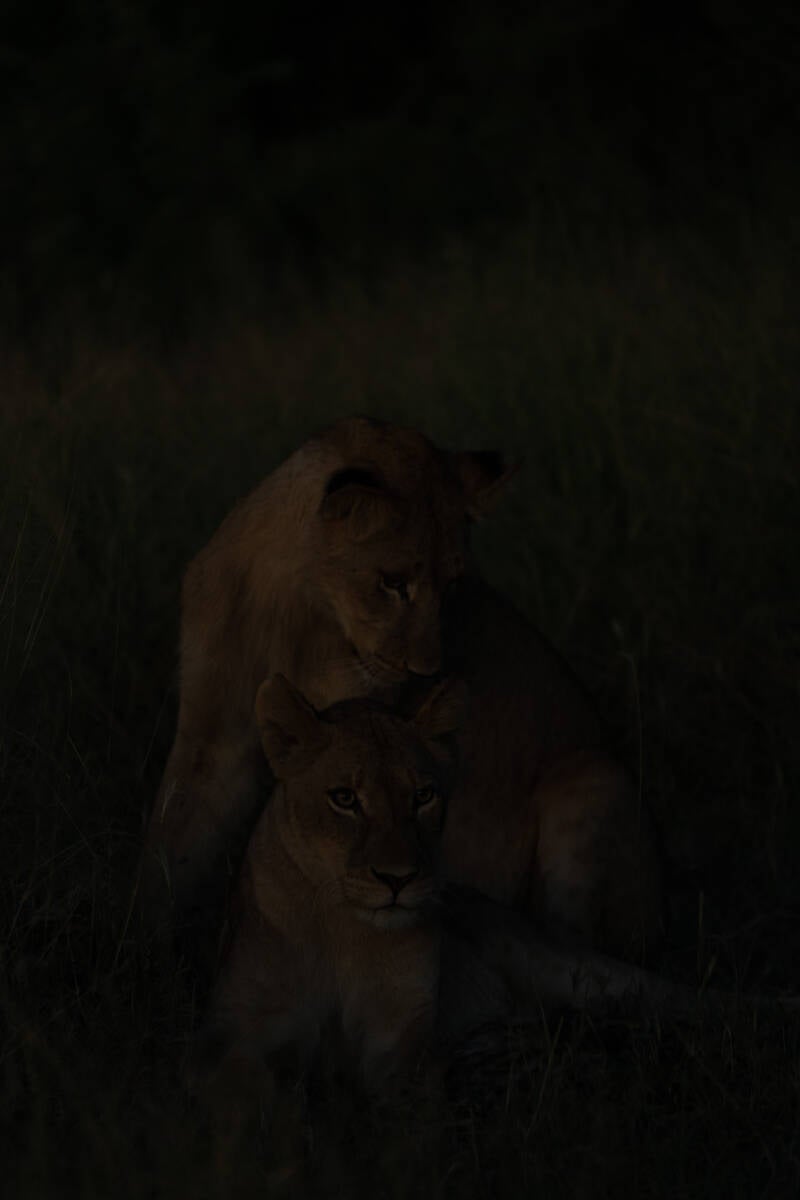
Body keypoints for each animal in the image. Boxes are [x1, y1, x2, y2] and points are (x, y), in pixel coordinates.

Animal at [145, 417, 663, 965]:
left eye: (454, 584)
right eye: (393, 583)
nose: (429, 669)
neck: (296, 609)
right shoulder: (212, 738)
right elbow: (170, 844)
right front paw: (142, 952)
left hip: (594, 776)